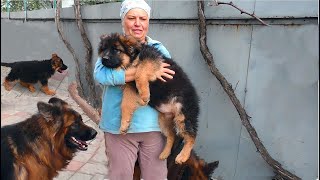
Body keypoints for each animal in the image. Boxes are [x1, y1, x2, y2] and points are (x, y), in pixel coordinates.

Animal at [97, 32, 199, 165]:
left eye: (116, 50)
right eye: (104, 49)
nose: (104, 59)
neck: (132, 58)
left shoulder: (151, 60)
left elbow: (139, 73)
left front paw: (145, 94)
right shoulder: (130, 87)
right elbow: (125, 105)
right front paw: (124, 124)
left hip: (183, 114)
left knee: (191, 136)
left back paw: (182, 156)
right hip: (163, 119)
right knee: (172, 135)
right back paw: (165, 153)